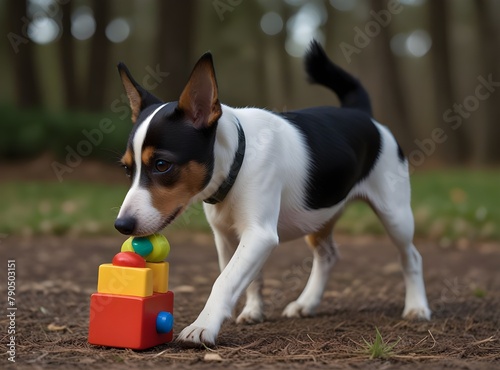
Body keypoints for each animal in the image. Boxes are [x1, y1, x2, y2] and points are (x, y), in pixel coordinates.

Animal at [113, 41, 430, 346]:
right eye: (127, 169)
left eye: (162, 165)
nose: (122, 225)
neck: (238, 158)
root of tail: (361, 113)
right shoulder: (228, 237)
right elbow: (247, 278)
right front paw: (253, 310)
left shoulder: (259, 234)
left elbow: (224, 281)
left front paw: (203, 326)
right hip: (319, 215)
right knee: (327, 255)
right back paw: (306, 303)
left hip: (395, 214)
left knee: (411, 257)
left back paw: (417, 307)